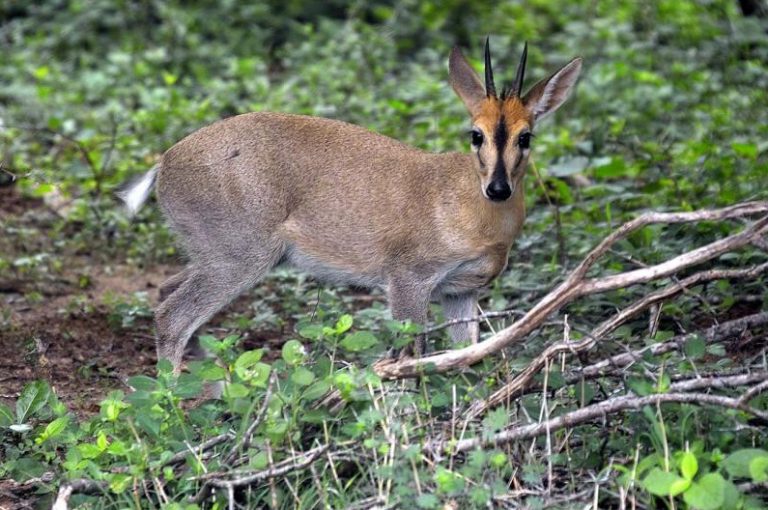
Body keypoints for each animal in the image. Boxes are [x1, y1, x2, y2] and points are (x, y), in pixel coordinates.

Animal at [119, 39, 582, 372]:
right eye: (476, 134)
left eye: (526, 135)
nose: (499, 189)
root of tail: (164, 163)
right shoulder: (408, 277)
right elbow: (411, 353)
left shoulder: (461, 290)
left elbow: (465, 354)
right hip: (238, 256)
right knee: (171, 316)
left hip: (212, 253)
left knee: (167, 291)